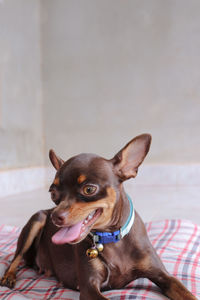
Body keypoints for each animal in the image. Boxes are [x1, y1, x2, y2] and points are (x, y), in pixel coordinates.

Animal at [0, 135, 197, 298]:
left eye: (89, 189)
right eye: (52, 192)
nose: (55, 217)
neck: (110, 236)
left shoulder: (164, 277)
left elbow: (186, 293)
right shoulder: (89, 287)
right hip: (38, 219)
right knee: (15, 258)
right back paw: (9, 277)